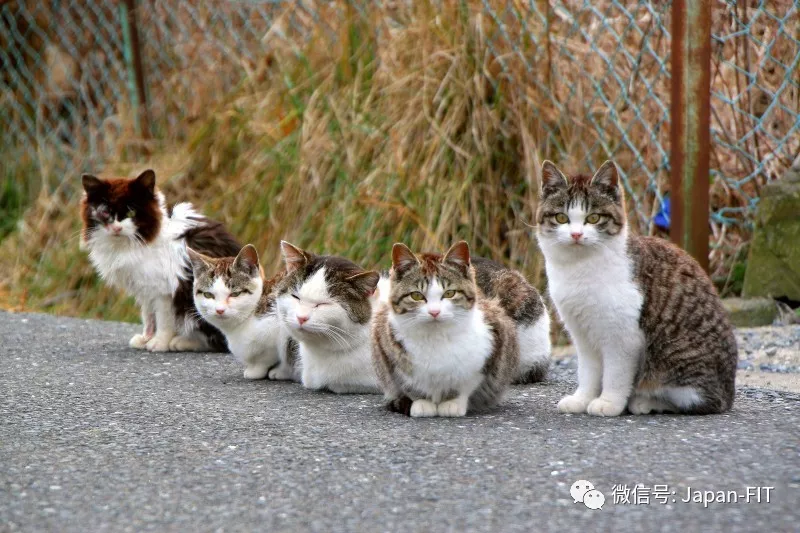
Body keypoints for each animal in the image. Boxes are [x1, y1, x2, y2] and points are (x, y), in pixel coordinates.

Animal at [80, 168, 241, 352]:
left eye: (131, 212)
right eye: (105, 212)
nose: (117, 228)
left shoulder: (165, 290)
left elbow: (164, 321)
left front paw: (159, 342)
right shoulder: (145, 288)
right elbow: (148, 316)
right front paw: (146, 338)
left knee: (217, 340)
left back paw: (181, 342)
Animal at [370, 239, 520, 418]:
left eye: (449, 293)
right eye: (416, 295)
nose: (434, 312)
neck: (436, 336)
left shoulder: (490, 348)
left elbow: (465, 383)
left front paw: (452, 403)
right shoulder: (390, 356)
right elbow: (411, 385)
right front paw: (422, 402)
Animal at [536, 158, 736, 416]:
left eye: (593, 218)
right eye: (561, 218)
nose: (577, 234)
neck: (580, 268)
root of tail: (728, 393)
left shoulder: (623, 335)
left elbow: (615, 374)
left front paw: (608, 402)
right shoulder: (582, 334)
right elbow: (588, 372)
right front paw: (582, 399)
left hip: (674, 363)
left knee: (697, 401)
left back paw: (644, 402)